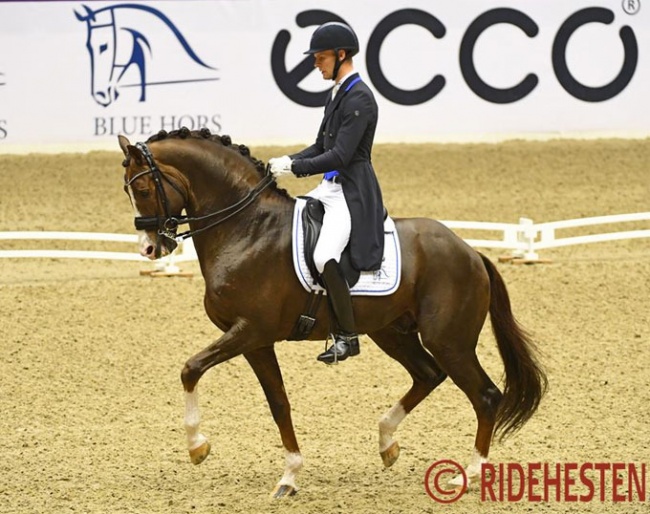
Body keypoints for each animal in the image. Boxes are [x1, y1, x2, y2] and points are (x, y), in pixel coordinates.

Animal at [117, 127, 548, 496]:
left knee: (486, 395)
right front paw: (289, 476)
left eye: (142, 187)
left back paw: (468, 475)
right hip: (392, 332)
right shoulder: (255, 342)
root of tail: (470, 252)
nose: (150, 249)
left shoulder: (251, 331)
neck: (246, 228)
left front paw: (197, 447)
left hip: (449, 341)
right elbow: (279, 403)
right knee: (428, 375)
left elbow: (191, 369)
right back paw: (387, 443)